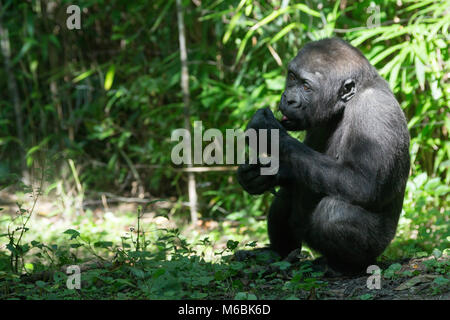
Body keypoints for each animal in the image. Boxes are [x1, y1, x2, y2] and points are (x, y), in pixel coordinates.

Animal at [237, 38, 410, 276]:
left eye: (306, 87)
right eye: (292, 77)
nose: (288, 99)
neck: (349, 101)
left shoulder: (374, 110)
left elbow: (363, 183)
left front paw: (268, 132)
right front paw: (258, 175)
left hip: (379, 245)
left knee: (335, 214)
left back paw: (344, 267)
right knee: (287, 195)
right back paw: (278, 254)